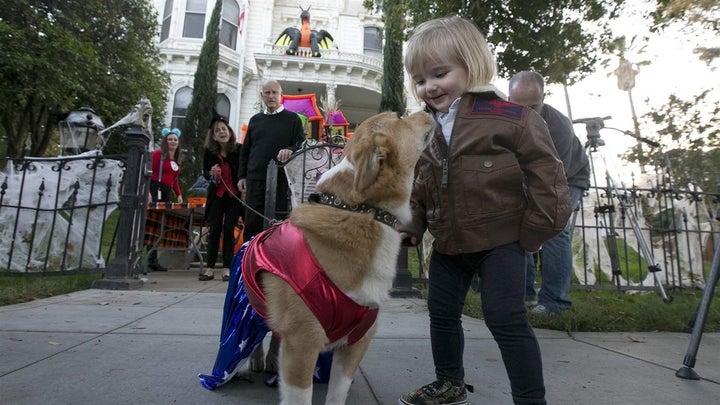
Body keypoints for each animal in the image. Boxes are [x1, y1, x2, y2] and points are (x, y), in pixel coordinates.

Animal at [197, 109, 434, 402]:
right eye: (399, 118)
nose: (428, 110)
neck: (361, 212)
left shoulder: (356, 342)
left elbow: (337, 394)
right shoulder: (303, 342)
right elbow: (300, 396)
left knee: (276, 335)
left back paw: (272, 362)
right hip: (246, 308)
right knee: (258, 334)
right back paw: (255, 361)